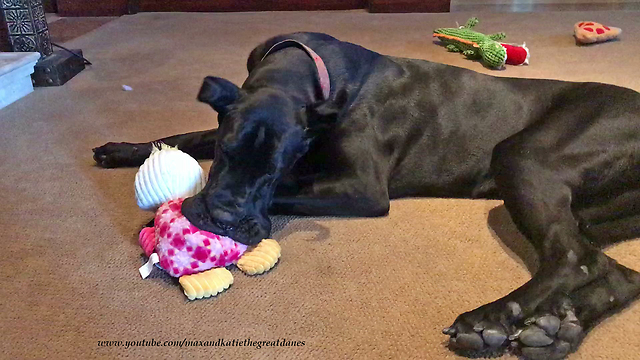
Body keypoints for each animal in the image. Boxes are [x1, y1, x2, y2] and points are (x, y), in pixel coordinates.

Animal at [92, 32, 640, 358]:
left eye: (275, 170)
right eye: (227, 153)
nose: (223, 219)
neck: (308, 72)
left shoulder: (361, 188)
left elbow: (288, 193)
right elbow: (188, 136)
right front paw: (125, 149)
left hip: (523, 157)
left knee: (568, 258)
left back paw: (489, 320)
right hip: (588, 212)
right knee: (613, 271)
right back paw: (557, 331)